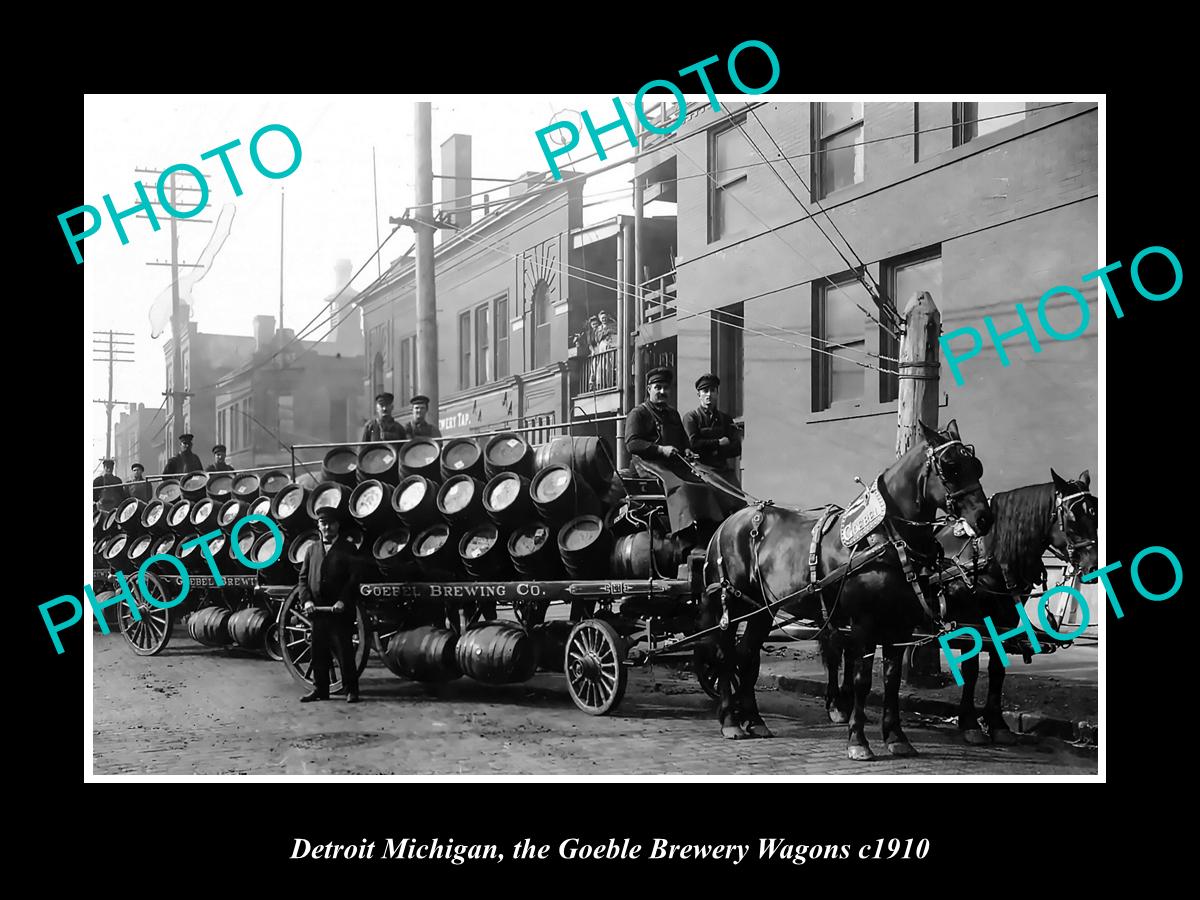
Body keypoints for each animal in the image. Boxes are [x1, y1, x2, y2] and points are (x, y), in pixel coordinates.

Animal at [700, 420, 988, 758]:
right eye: (950, 467)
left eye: (976, 466)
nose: (984, 517)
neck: (885, 537)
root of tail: (727, 524)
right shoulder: (864, 624)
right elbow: (862, 681)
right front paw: (858, 740)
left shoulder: (899, 624)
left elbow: (891, 680)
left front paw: (896, 737)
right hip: (732, 605)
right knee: (724, 655)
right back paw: (730, 720)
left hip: (761, 608)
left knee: (746, 655)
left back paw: (755, 720)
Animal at [825, 468, 1099, 744]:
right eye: (1073, 516)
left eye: (1095, 514)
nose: (1094, 566)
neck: (990, 552)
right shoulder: (971, 620)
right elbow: (971, 670)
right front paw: (969, 723)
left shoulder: (1005, 621)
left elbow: (997, 670)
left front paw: (997, 723)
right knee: (837, 650)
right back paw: (837, 703)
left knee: (848, 651)